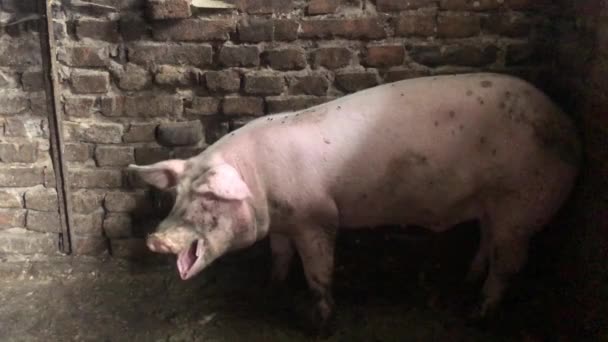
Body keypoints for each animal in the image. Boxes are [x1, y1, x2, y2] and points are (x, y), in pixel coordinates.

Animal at [128, 72, 580, 332]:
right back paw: (467, 281)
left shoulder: (316, 218)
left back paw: (476, 314)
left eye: (207, 197)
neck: (260, 186)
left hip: (521, 204)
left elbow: (318, 272)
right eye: (177, 196)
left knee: (508, 263)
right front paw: (272, 286)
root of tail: (566, 124)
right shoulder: (284, 224)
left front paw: (321, 322)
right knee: (487, 240)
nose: (155, 239)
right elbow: (279, 255)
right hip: (493, 203)